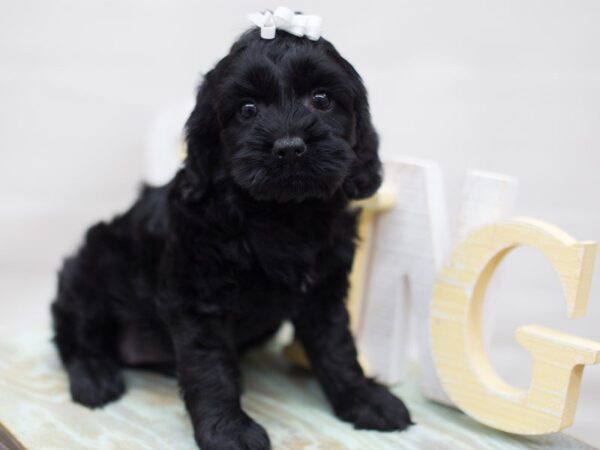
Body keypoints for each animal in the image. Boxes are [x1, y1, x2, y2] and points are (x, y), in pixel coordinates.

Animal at [51, 26, 412, 448]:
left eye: (321, 99)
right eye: (247, 109)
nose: (289, 148)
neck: (281, 213)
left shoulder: (324, 292)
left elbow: (337, 349)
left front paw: (364, 399)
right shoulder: (198, 296)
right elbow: (210, 367)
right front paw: (228, 429)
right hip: (88, 270)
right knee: (77, 333)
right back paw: (94, 377)